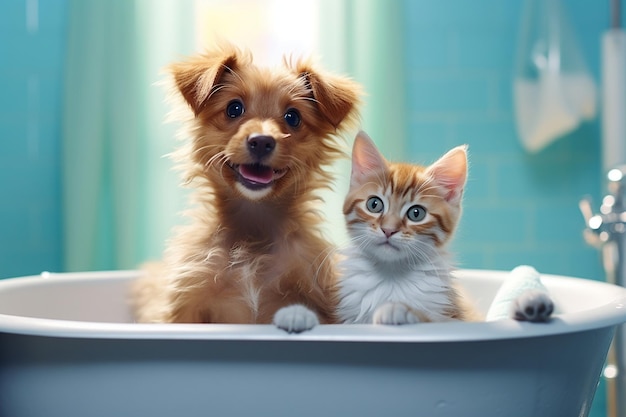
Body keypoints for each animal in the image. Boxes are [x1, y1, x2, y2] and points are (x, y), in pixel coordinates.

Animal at [336, 131, 552, 324]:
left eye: (416, 213)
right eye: (374, 204)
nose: (388, 230)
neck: (392, 276)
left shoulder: (455, 317)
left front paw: (400, 310)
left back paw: (531, 305)